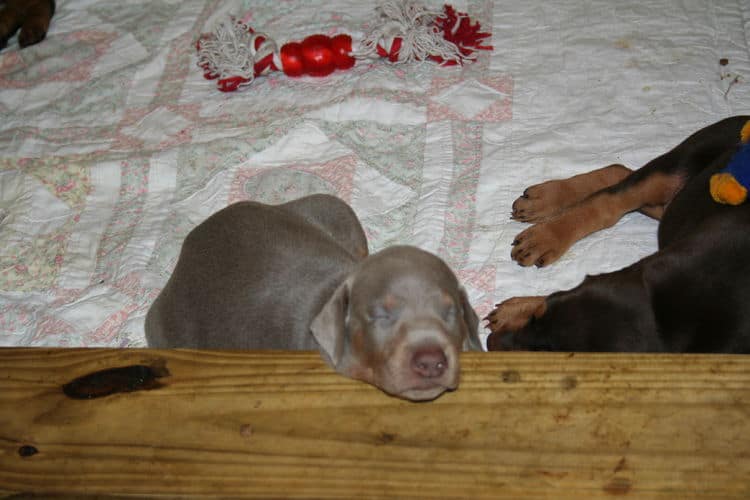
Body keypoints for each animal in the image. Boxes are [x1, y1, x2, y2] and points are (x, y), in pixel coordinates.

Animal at [147, 193, 482, 400]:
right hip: (170, 330)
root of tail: (191, 242)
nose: (431, 362)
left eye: (451, 312)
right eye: (380, 316)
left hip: (331, 208)